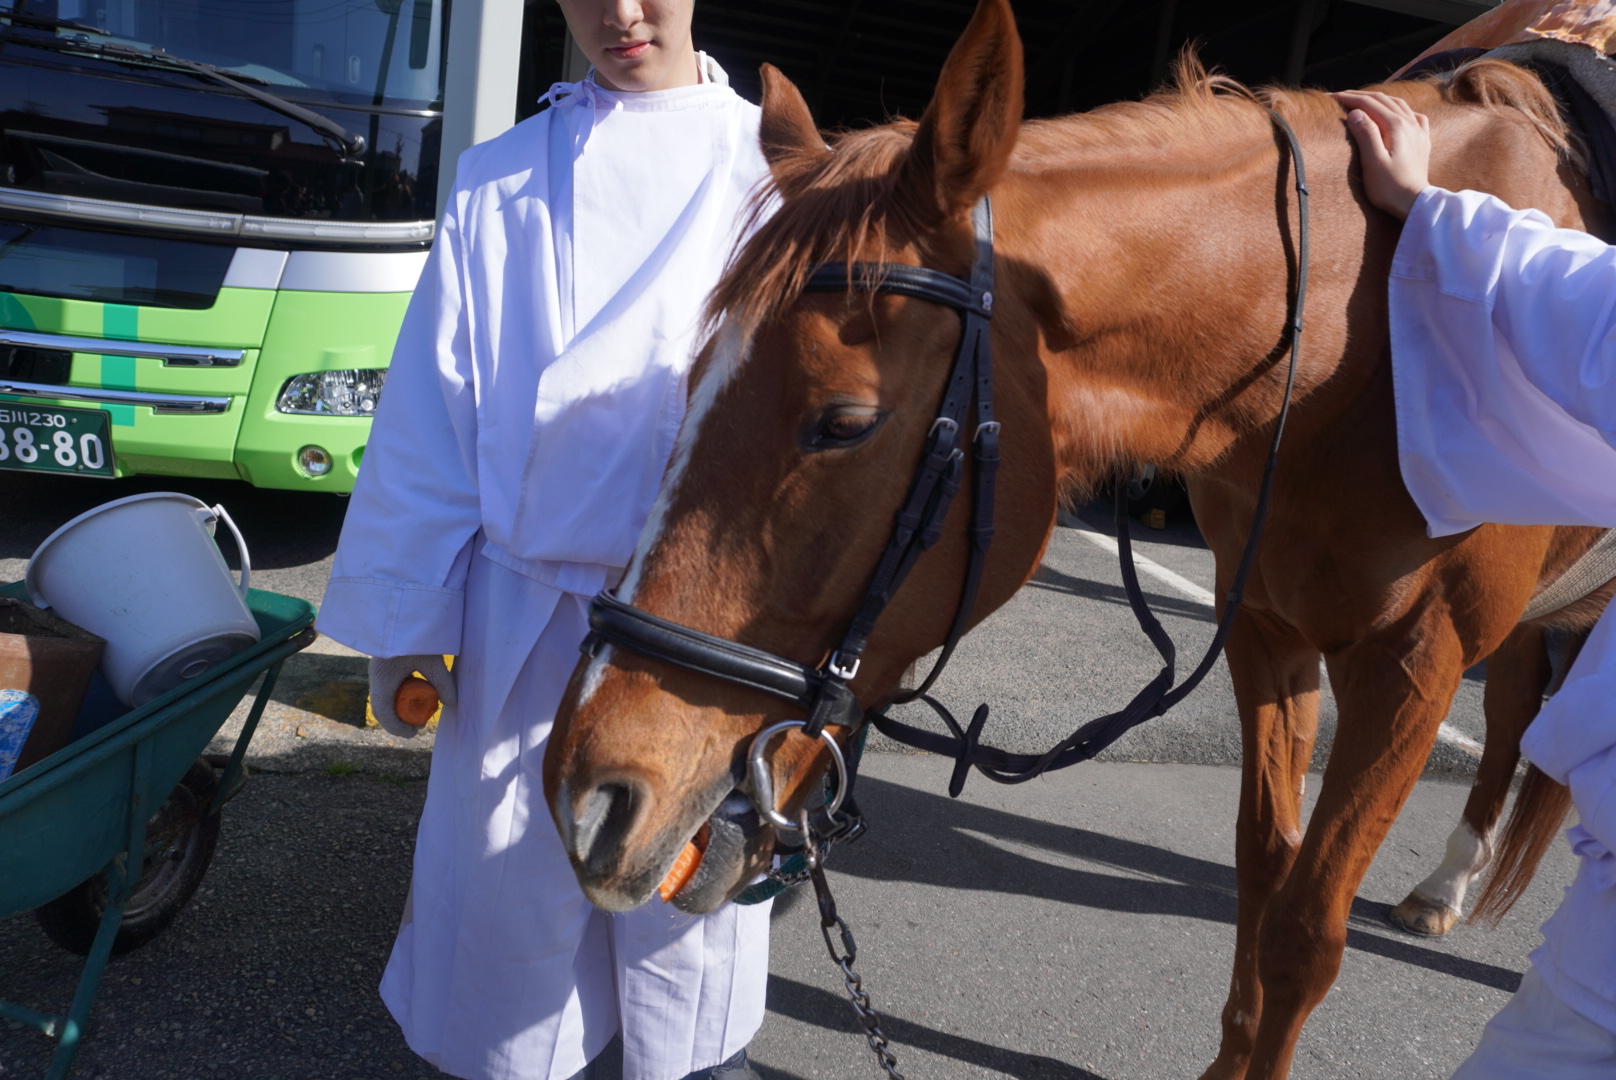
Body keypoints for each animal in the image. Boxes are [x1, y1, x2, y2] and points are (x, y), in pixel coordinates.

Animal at [543, 0, 1610, 1075]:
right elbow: (1262, 872)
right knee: (1512, 711)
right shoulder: (1265, 631)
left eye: (843, 422)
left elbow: (1306, 929)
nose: (589, 795)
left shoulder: (1415, 667)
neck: (1356, 340)